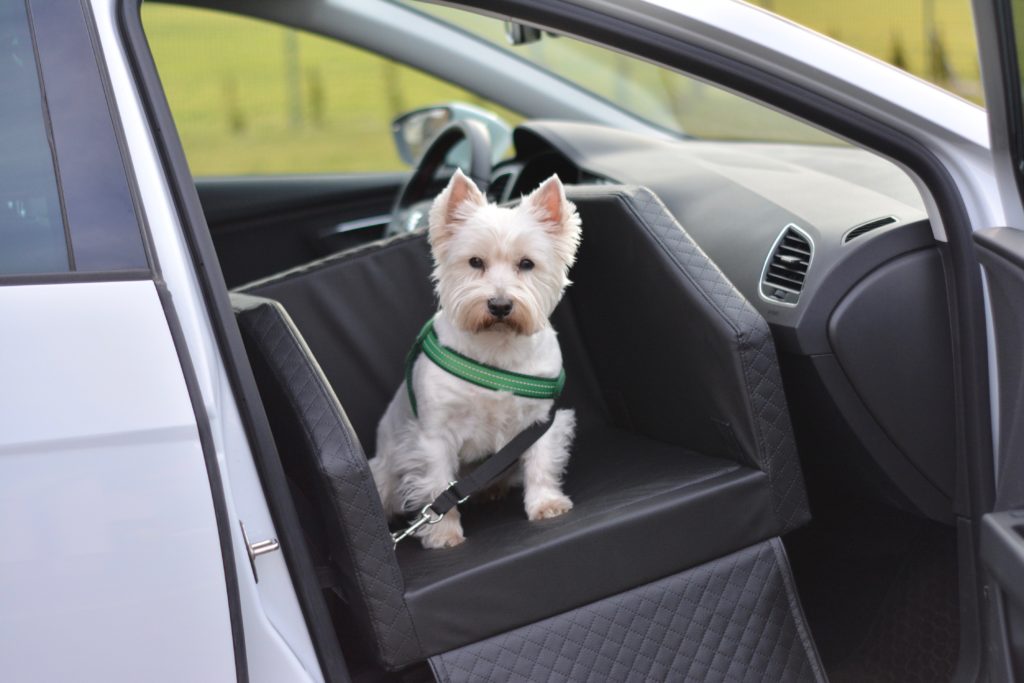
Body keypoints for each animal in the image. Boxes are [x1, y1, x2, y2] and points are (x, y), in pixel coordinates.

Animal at [368, 169, 581, 548]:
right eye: (475, 262)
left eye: (527, 264)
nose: (500, 305)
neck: (497, 349)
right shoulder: (434, 436)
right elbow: (438, 487)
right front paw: (443, 533)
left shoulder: (539, 421)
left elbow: (541, 464)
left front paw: (546, 504)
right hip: (384, 472)